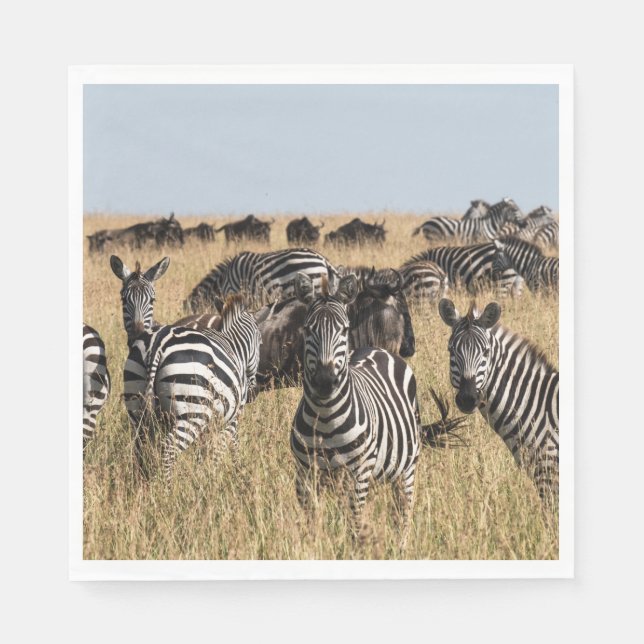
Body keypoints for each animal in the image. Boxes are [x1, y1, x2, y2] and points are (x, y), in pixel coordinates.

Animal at [110, 255, 262, 479]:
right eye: (260, 342)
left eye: (152, 300)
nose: (252, 390)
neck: (232, 342)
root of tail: (157, 344)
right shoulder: (232, 417)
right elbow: (224, 448)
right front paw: (224, 474)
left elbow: (205, 452)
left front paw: (204, 476)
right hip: (191, 411)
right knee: (168, 450)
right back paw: (168, 487)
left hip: (136, 407)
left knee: (141, 452)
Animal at [291, 272, 463, 542]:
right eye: (308, 329)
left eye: (344, 329)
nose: (325, 381)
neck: (325, 417)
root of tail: (377, 349)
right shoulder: (305, 476)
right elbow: (311, 527)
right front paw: (314, 546)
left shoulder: (358, 474)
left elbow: (354, 526)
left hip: (406, 470)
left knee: (402, 513)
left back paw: (401, 545)